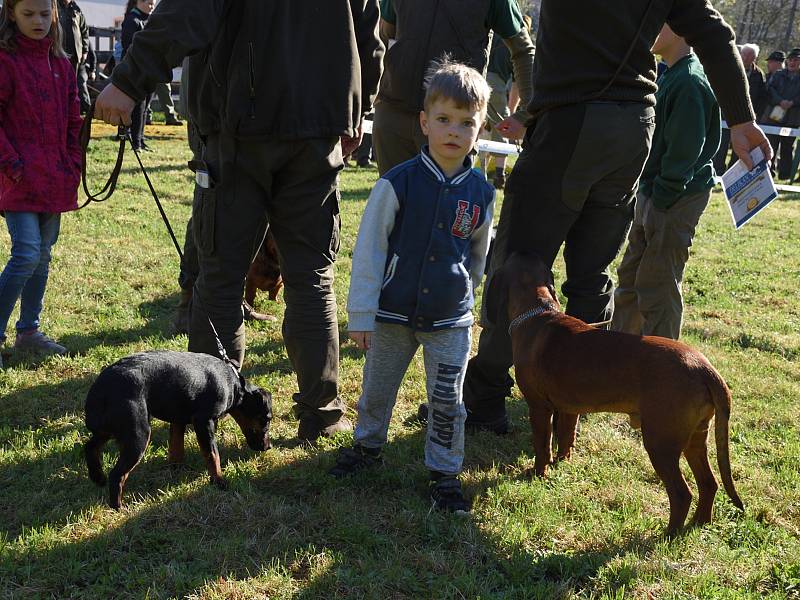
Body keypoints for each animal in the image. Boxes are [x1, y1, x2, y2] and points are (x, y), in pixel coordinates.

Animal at [83, 350, 272, 508]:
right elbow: (213, 455)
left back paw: (98, 477)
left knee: (90, 447)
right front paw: (219, 481)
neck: (234, 385)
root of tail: (99, 390)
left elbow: (176, 448)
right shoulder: (204, 422)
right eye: (266, 419)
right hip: (138, 436)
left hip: (108, 431)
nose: (269, 446)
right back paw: (118, 507)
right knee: (117, 475)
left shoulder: (178, 421)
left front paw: (176, 469)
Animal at [484, 251, 748, 532]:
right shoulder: (569, 409)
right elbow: (566, 438)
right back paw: (699, 524)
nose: (519, 250)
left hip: (661, 443)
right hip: (695, 438)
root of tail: (705, 369)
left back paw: (670, 534)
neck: (537, 310)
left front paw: (538, 473)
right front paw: (562, 463)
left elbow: (542, 446)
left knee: (681, 493)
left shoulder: (539, 407)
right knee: (709, 483)